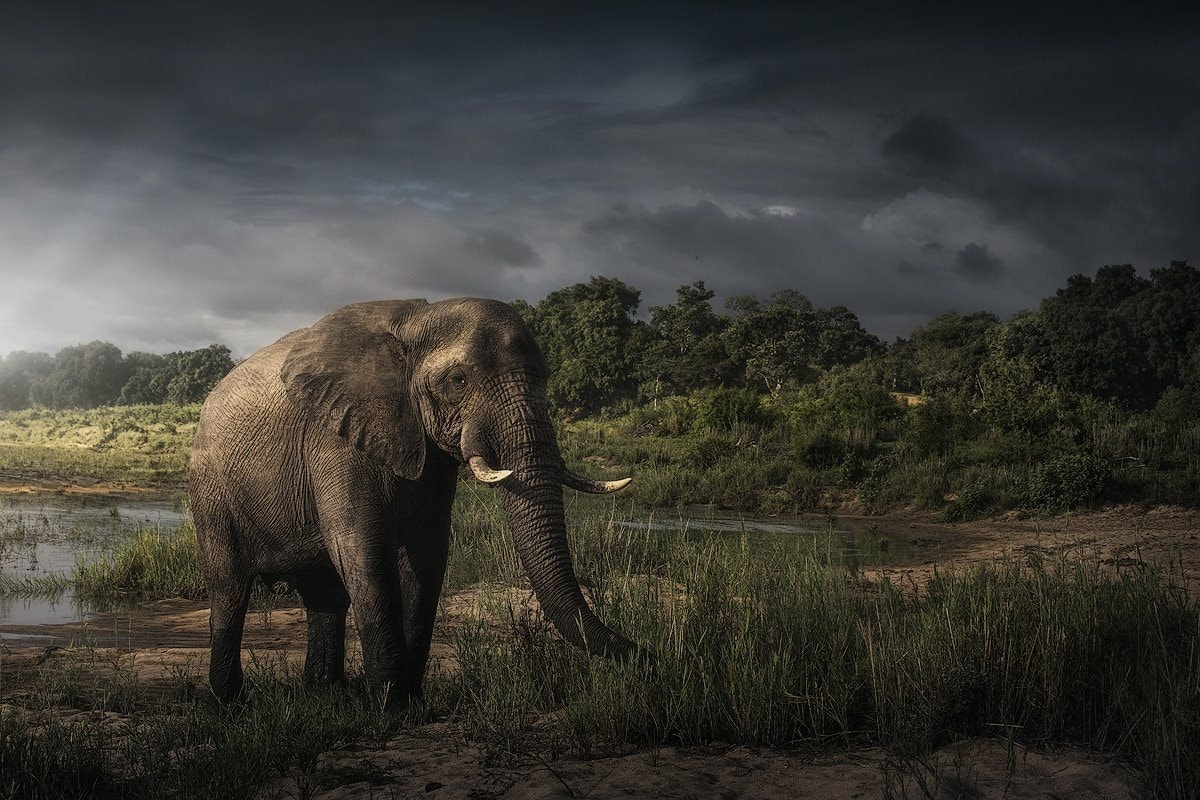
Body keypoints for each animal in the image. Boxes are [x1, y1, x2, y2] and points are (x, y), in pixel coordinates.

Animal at [188, 298, 643, 705]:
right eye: (458, 381)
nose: (648, 653)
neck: (416, 320)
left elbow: (427, 556)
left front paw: (411, 701)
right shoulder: (335, 439)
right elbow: (363, 549)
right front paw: (390, 706)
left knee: (325, 593)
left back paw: (324, 694)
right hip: (210, 487)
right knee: (230, 588)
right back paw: (229, 703)